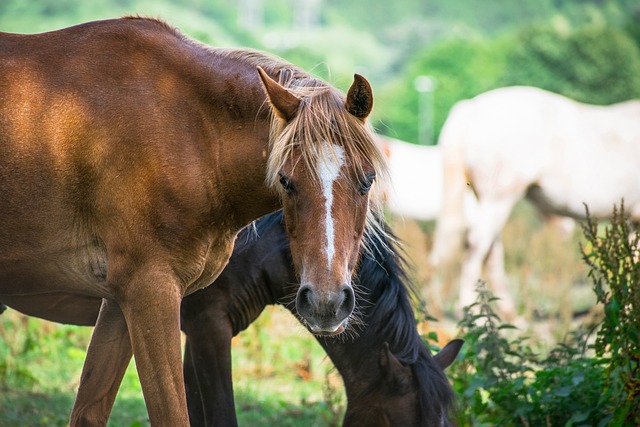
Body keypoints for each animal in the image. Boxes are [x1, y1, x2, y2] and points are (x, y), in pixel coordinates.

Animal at [0, 17, 384, 427]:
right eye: (286, 181)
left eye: (367, 181)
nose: (326, 302)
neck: (190, 132)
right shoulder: (152, 292)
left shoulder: (120, 303)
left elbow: (89, 411)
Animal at [430, 87, 640, 314]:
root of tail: (470, 109)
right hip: (500, 198)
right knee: (475, 246)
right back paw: (472, 310)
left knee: (490, 251)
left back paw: (508, 312)